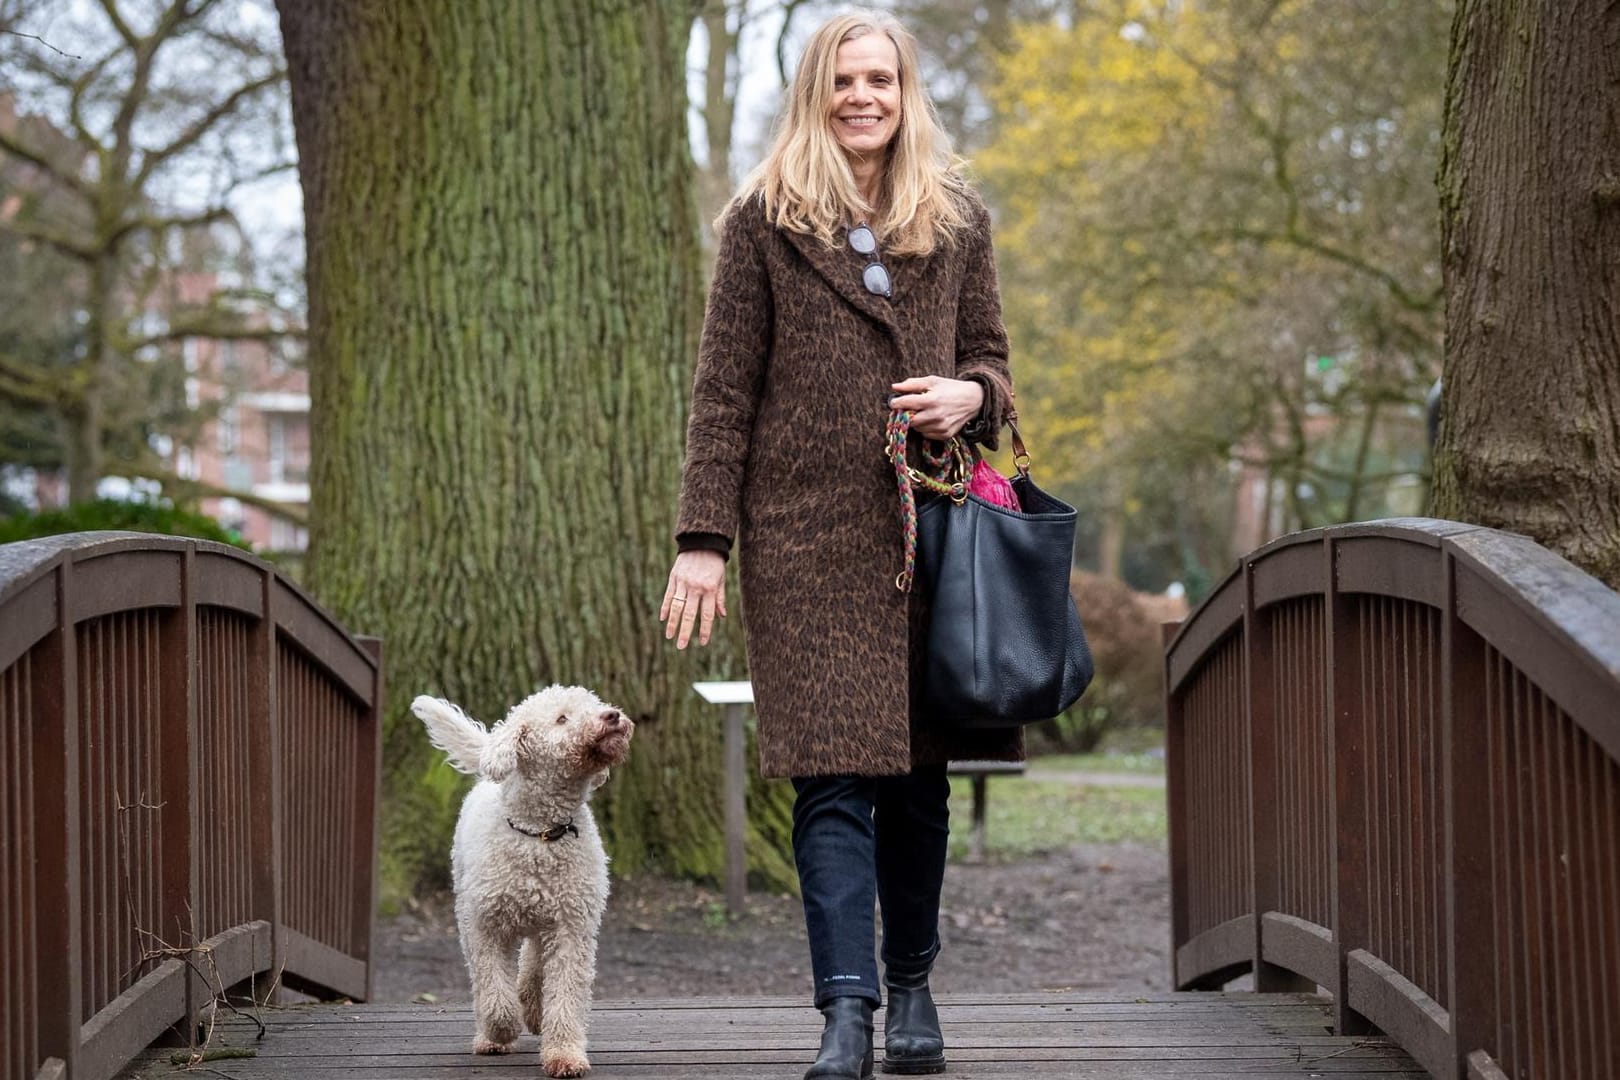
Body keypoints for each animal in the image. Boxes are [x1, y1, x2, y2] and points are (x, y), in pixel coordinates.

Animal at [411, 689, 631, 1075]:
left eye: (594, 704)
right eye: (562, 718)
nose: (612, 715)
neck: (541, 834)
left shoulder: (570, 928)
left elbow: (565, 996)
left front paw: (564, 1054)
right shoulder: (484, 927)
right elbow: (494, 991)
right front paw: (501, 1030)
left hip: (544, 922)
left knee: (532, 963)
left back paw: (533, 1007)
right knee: (491, 981)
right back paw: (492, 1034)